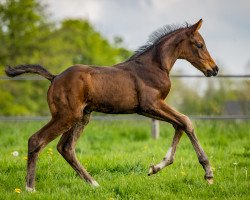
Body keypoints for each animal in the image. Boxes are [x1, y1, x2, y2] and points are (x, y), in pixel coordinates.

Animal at [4, 19, 218, 192]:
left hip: (82, 116)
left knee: (66, 148)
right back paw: (30, 188)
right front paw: (208, 173)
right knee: (36, 140)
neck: (155, 66)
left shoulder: (148, 109)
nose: (214, 69)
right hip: (66, 116)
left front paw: (155, 168)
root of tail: (54, 77)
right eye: (199, 44)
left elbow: (179, 124)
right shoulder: (151, 104)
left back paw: (94, 184)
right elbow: (186, 121)